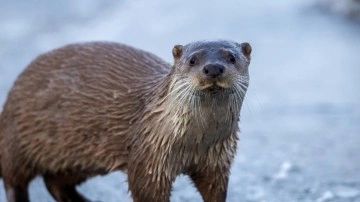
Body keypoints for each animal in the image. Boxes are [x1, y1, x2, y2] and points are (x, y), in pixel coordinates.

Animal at [0, 39, 252, 202]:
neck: (195, 143)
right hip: (16, 139)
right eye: (192, 60)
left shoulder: (217, 160)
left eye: (232, 57)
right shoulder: (149, 157)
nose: (213, 68)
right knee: (14, 180)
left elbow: (215, 190)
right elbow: (146, 190)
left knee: (54, 182)